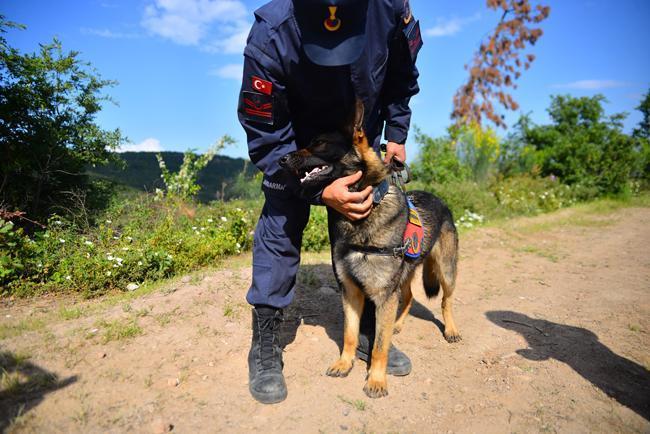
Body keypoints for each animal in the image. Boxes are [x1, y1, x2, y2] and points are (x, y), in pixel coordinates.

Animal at [278, 101, 460, 396]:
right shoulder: (352, 292)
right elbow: (350, 334)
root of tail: (440, 200)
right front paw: (345, 363)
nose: (281, 160)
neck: (364, 214)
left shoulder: (383, 295)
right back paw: (397, 325)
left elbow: (379, 345)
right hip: (404, 277)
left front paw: (376, 379)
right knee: (409, 297)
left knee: (446, 300)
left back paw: (451, 329)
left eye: (319, 143)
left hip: (446, 271)